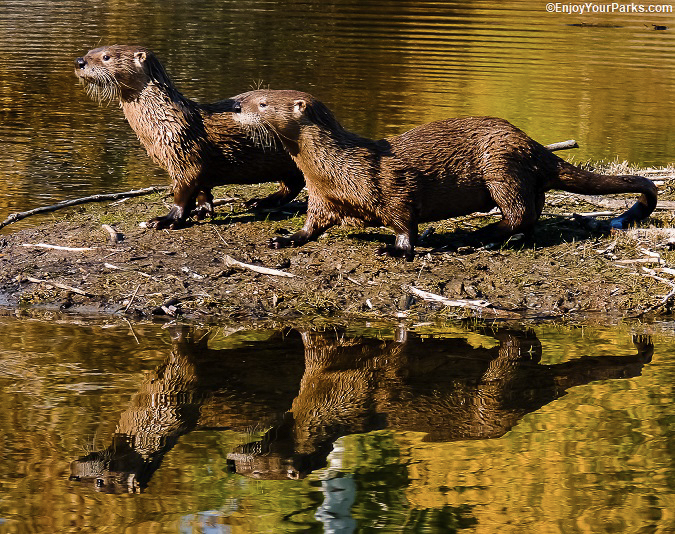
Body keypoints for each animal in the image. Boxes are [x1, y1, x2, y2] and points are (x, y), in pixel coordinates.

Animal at [74, 46, 304, 230]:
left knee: (296, 183)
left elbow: (183, 194)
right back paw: (260, 202)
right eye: (90, 51)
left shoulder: (185, 158)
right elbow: (203, 191)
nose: (79, 61)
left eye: (106, 57)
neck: (162, 120)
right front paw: (202, 210)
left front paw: (166, 219)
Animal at [232, 89, 660, 260]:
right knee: (532, 213)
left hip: (500, 167)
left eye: (263, 102)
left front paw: (395, 249)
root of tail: (531, 142)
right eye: (254, 94)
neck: (335, 168)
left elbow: (405, 222)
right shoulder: (322, 198)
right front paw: (285, 238)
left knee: (519, 212)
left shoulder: (393, 188)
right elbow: (312, 225)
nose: (236, 104)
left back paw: (476, 236)